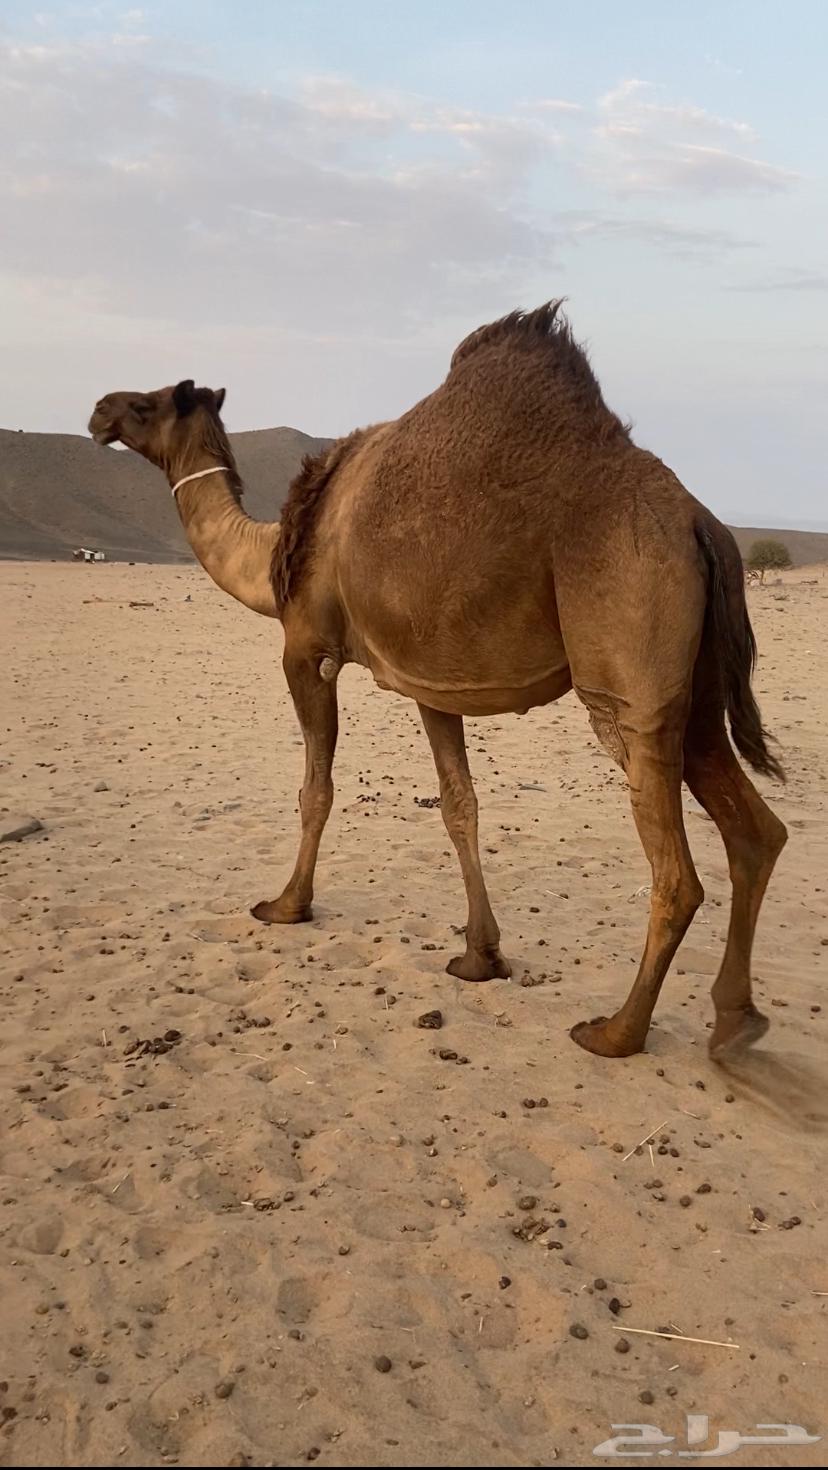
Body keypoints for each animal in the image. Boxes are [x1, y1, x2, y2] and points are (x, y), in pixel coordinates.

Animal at [89, 302, 787, 1060]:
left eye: (148, 403)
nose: (98, 410)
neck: (276, 549)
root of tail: (701, 523)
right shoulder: (433, 683)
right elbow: (460, 806)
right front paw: (480, 955)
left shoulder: (306, 648)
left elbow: (316, 789)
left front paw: (287, 904)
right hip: (697, 697)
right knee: (756, 831)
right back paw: (736, 1021)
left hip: (628, 676)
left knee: (676, 872)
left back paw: (616, 1031)